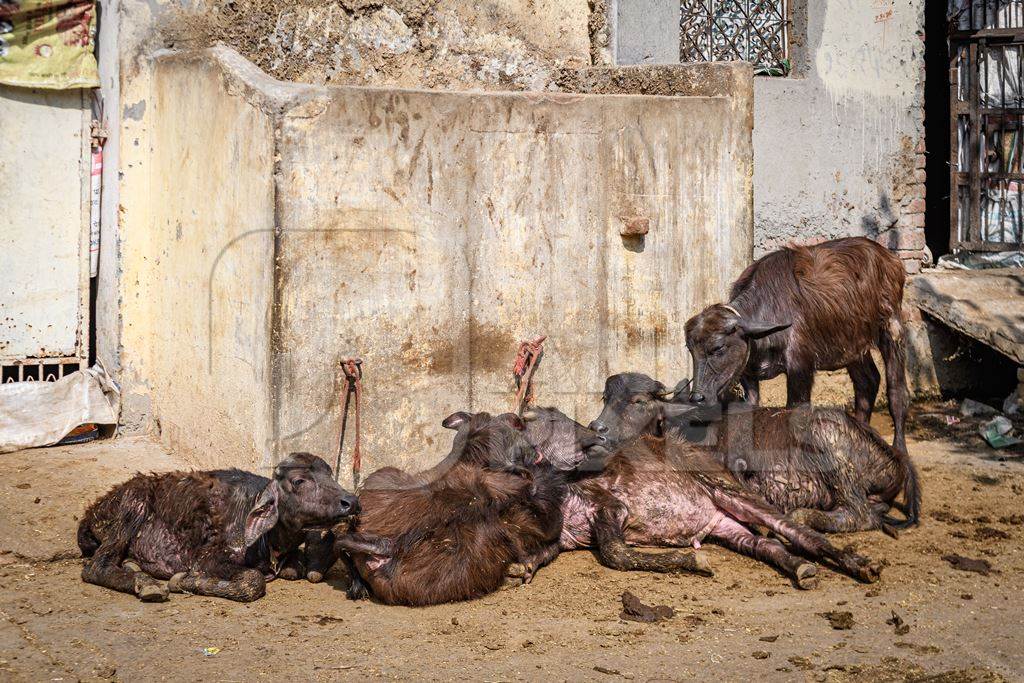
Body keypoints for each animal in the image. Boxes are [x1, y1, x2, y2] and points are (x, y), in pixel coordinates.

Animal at [76, 454, 356, 602]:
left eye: (330, 474)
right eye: (299, 481)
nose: (351, 501)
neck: (270, 539)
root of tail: (94, 509)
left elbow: (293, 567)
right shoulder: (207, 559)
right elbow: (253, 580)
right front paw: (183, 581)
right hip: (134, 504)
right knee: (96, 567)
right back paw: (147, 584)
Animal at [589, 374, 925, 532]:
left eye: (639, 402)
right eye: (606, 398)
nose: (597, 429)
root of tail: (892, 454)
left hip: (828, 446)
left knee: (858, 513)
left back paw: (804, 515)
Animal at [684, 235, 909, 454]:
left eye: (718, 348)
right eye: (691, 350)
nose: (697, 398)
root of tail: (891, 259)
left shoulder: (800, 370)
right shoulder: (748, 376)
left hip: (892, 330)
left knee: (896, 392)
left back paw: (900, 450)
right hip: (853, 348)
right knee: (867, 382)